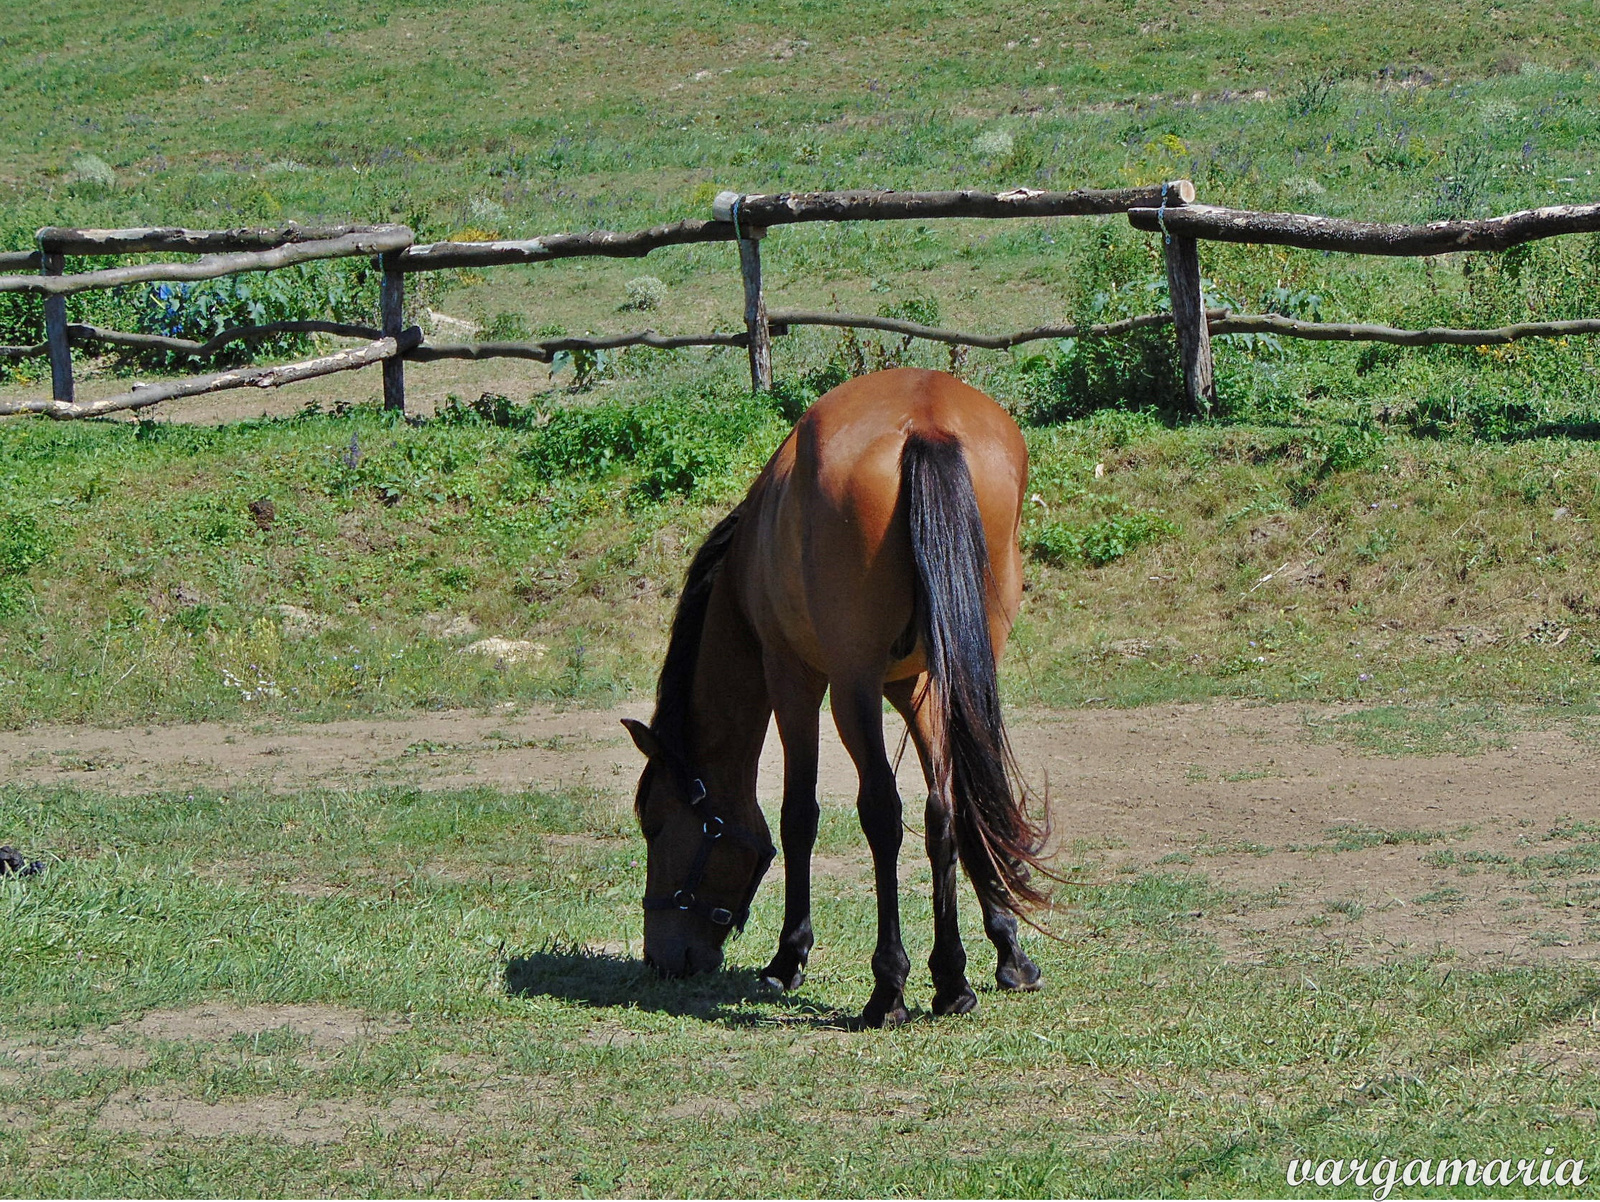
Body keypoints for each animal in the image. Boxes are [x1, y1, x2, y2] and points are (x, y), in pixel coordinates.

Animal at [620, 366, 1049, 1024]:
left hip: (851, 688)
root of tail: (926, 421)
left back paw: (888, 988)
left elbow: (800, 813)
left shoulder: (793, 677)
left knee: (883, 812)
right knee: (954, 801)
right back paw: (954, 979)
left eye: (658, 824)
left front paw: (787, 957)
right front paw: (997, 953)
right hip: (959, 669)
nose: (661, 957)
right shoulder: (915, 684)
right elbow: (954, 807)